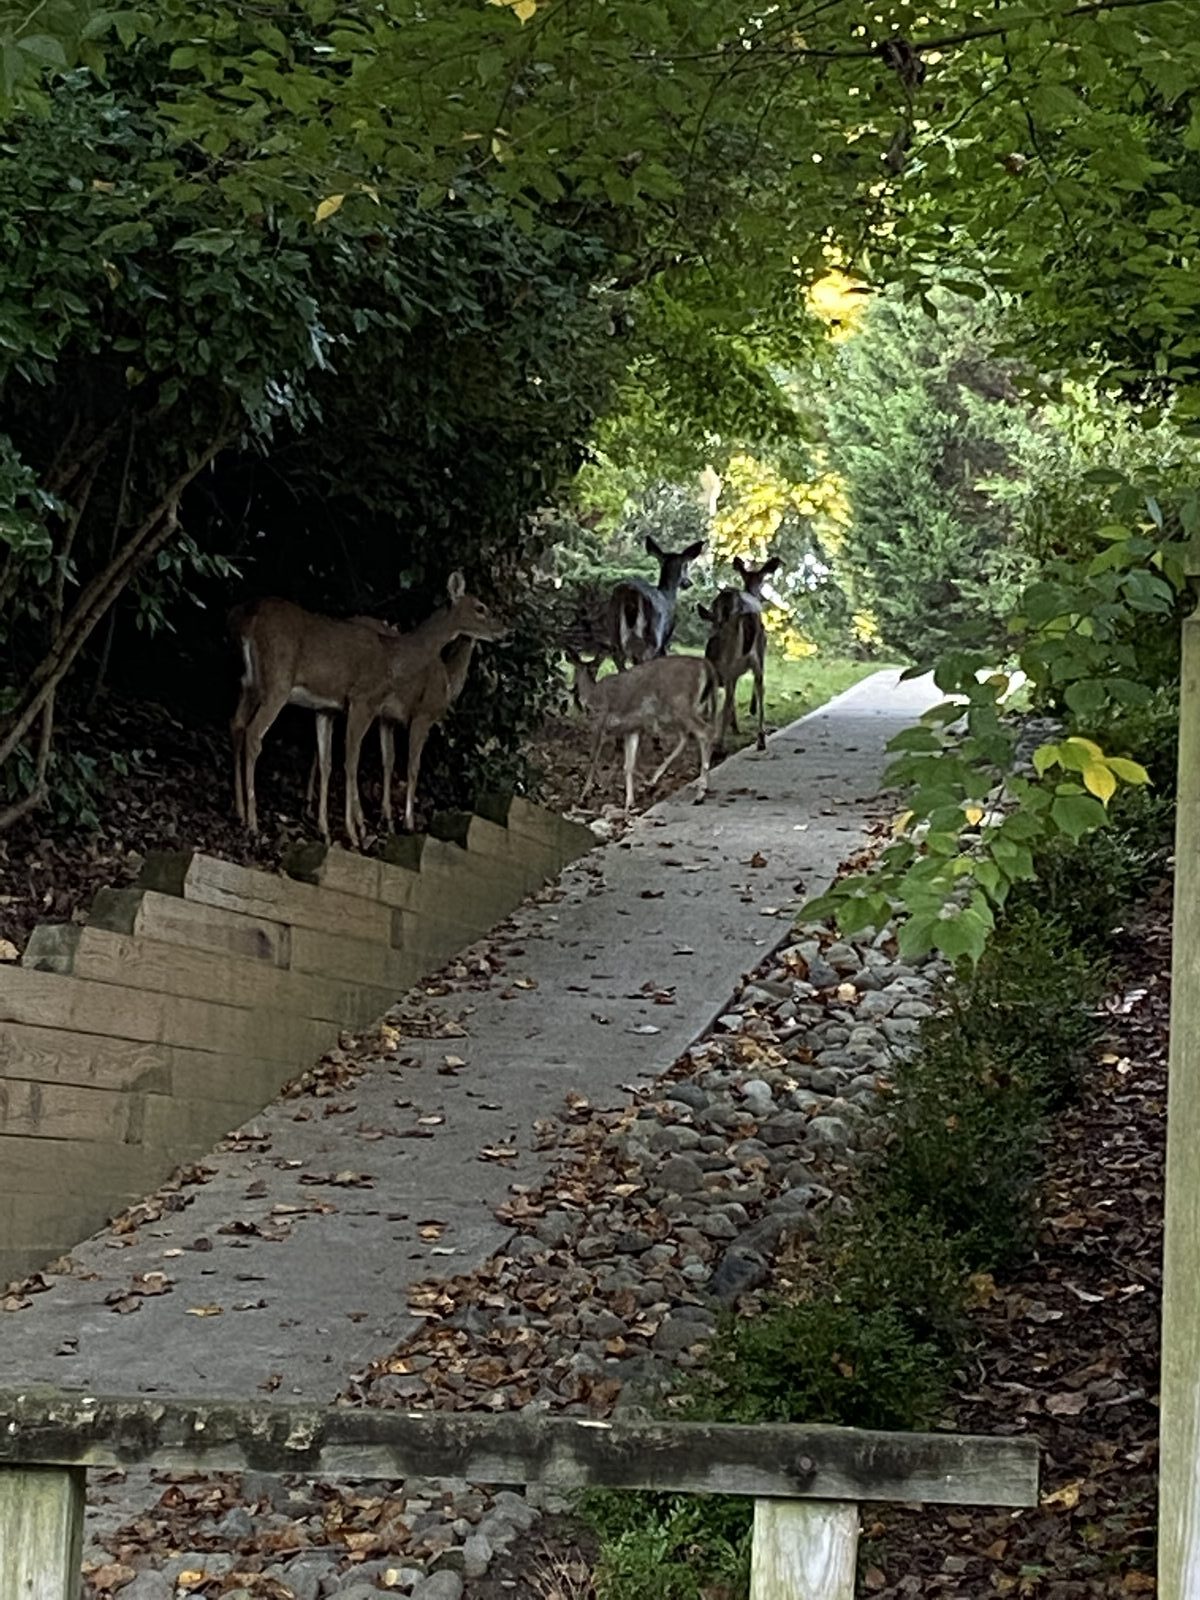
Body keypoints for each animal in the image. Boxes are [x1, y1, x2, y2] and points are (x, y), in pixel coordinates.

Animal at [230, 573, 503, 848]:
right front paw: (357, 832)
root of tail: (246, 619)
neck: (392, 659)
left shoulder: (328, 708)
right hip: (277, 681)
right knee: (253, 734)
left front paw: (326, 830)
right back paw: (254, 825)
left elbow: (330, 761)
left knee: (237, 725)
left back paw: (241, 812)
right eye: (480, 607)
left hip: (249, 683)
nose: (504, 630)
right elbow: (355, 762)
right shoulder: (367, 702)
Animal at [569, 651, 718, 815]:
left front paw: (584, 796)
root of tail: (706, 665)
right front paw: (629, 802)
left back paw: (700, 793)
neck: (591, 694)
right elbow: (628, 765)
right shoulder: (631, 729)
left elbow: (593, 760)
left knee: (705, 732)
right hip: (686, 710)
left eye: (575, 670)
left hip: (679, 704)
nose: (573, 689)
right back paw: (655, 779)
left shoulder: (599, 723)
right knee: (689, 735)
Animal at [606, 535, 705, 669]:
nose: (688, 583)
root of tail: (629, 593)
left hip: (614, 636)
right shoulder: (665, 639)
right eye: (685, 565)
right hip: (653, 638)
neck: (667, 594)